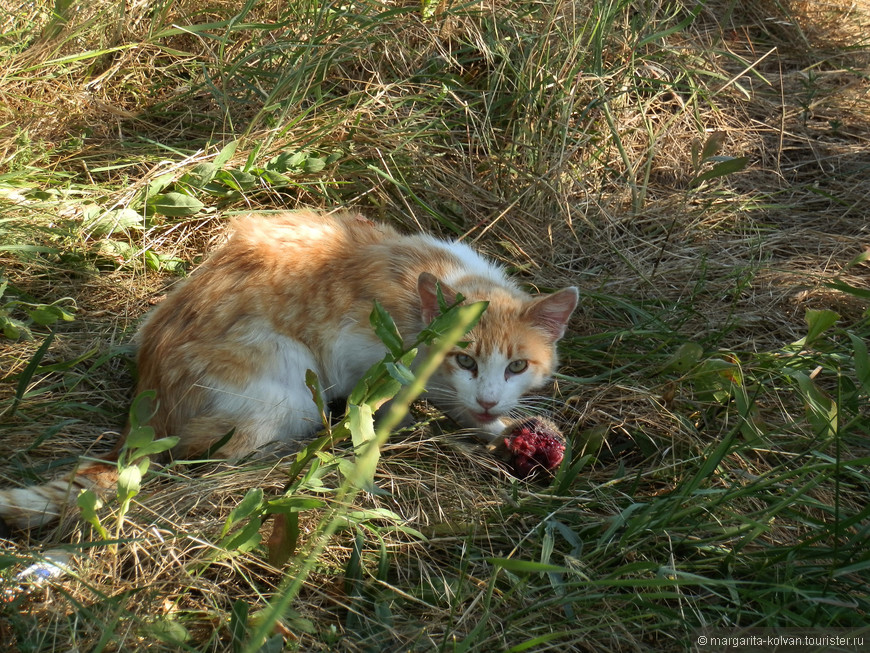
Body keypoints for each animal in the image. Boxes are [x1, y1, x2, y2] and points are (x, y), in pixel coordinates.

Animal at [0, 211, 580, 528]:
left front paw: (507, 431)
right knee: (208, 452)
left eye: (517, 366)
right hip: (289, 385)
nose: (488, 398)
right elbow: (397, 400)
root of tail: (145, 406)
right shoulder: (363, 353)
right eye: (464, 359)